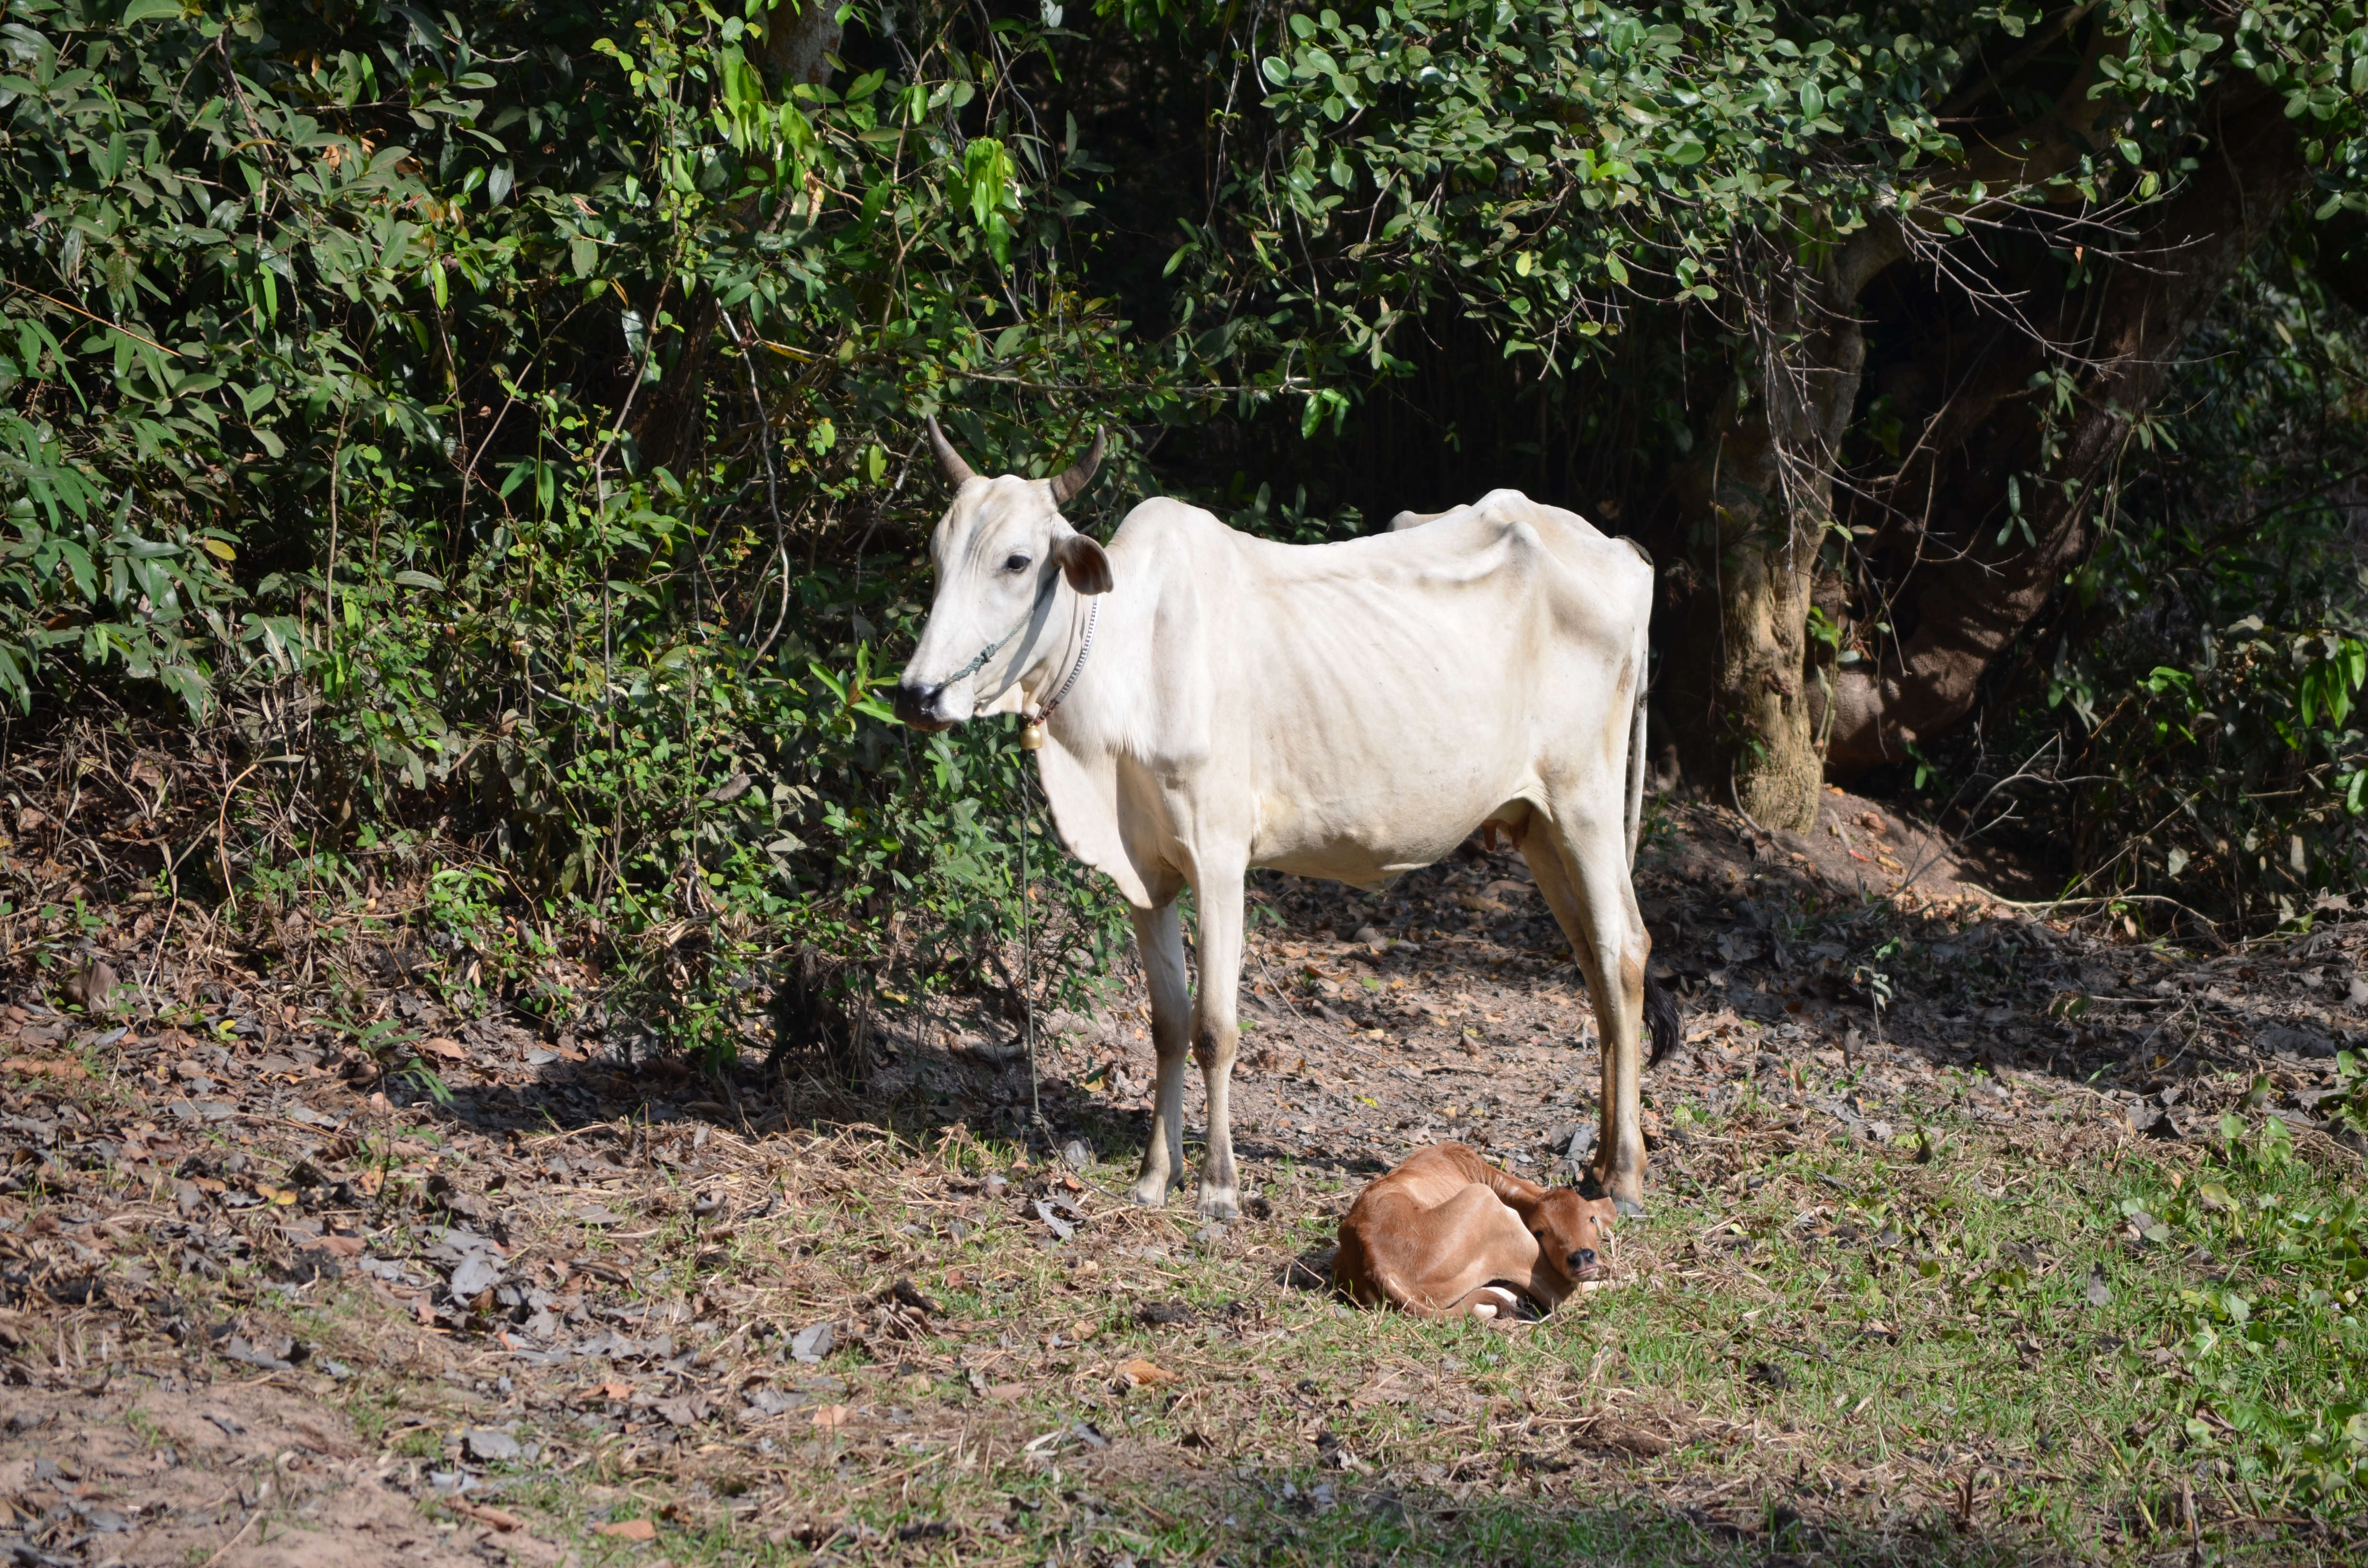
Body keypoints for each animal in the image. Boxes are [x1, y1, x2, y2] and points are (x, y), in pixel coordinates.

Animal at [895, 424, 1677, 1222]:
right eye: (937, 555)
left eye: (1017, 561)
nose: (917, 695)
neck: (1131, 659)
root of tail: (1619, 549)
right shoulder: (1146, 874)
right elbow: (1167, 1023)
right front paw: (1154, 1176)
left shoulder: (1218, 859)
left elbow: (1215, 1028)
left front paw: (1218, 1189)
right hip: (1536, 821)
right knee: (1592, 962)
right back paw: (1600, 1164)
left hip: (1585, 800)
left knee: (1623, 948)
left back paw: (1625, 1175)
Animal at [1335, 1141, 1610, 1326]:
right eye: (1541, 1231)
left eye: (1592, 1218)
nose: (1583, 1258)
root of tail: (1371, 1258)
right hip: (1492, 1211)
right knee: (1560, 1294)